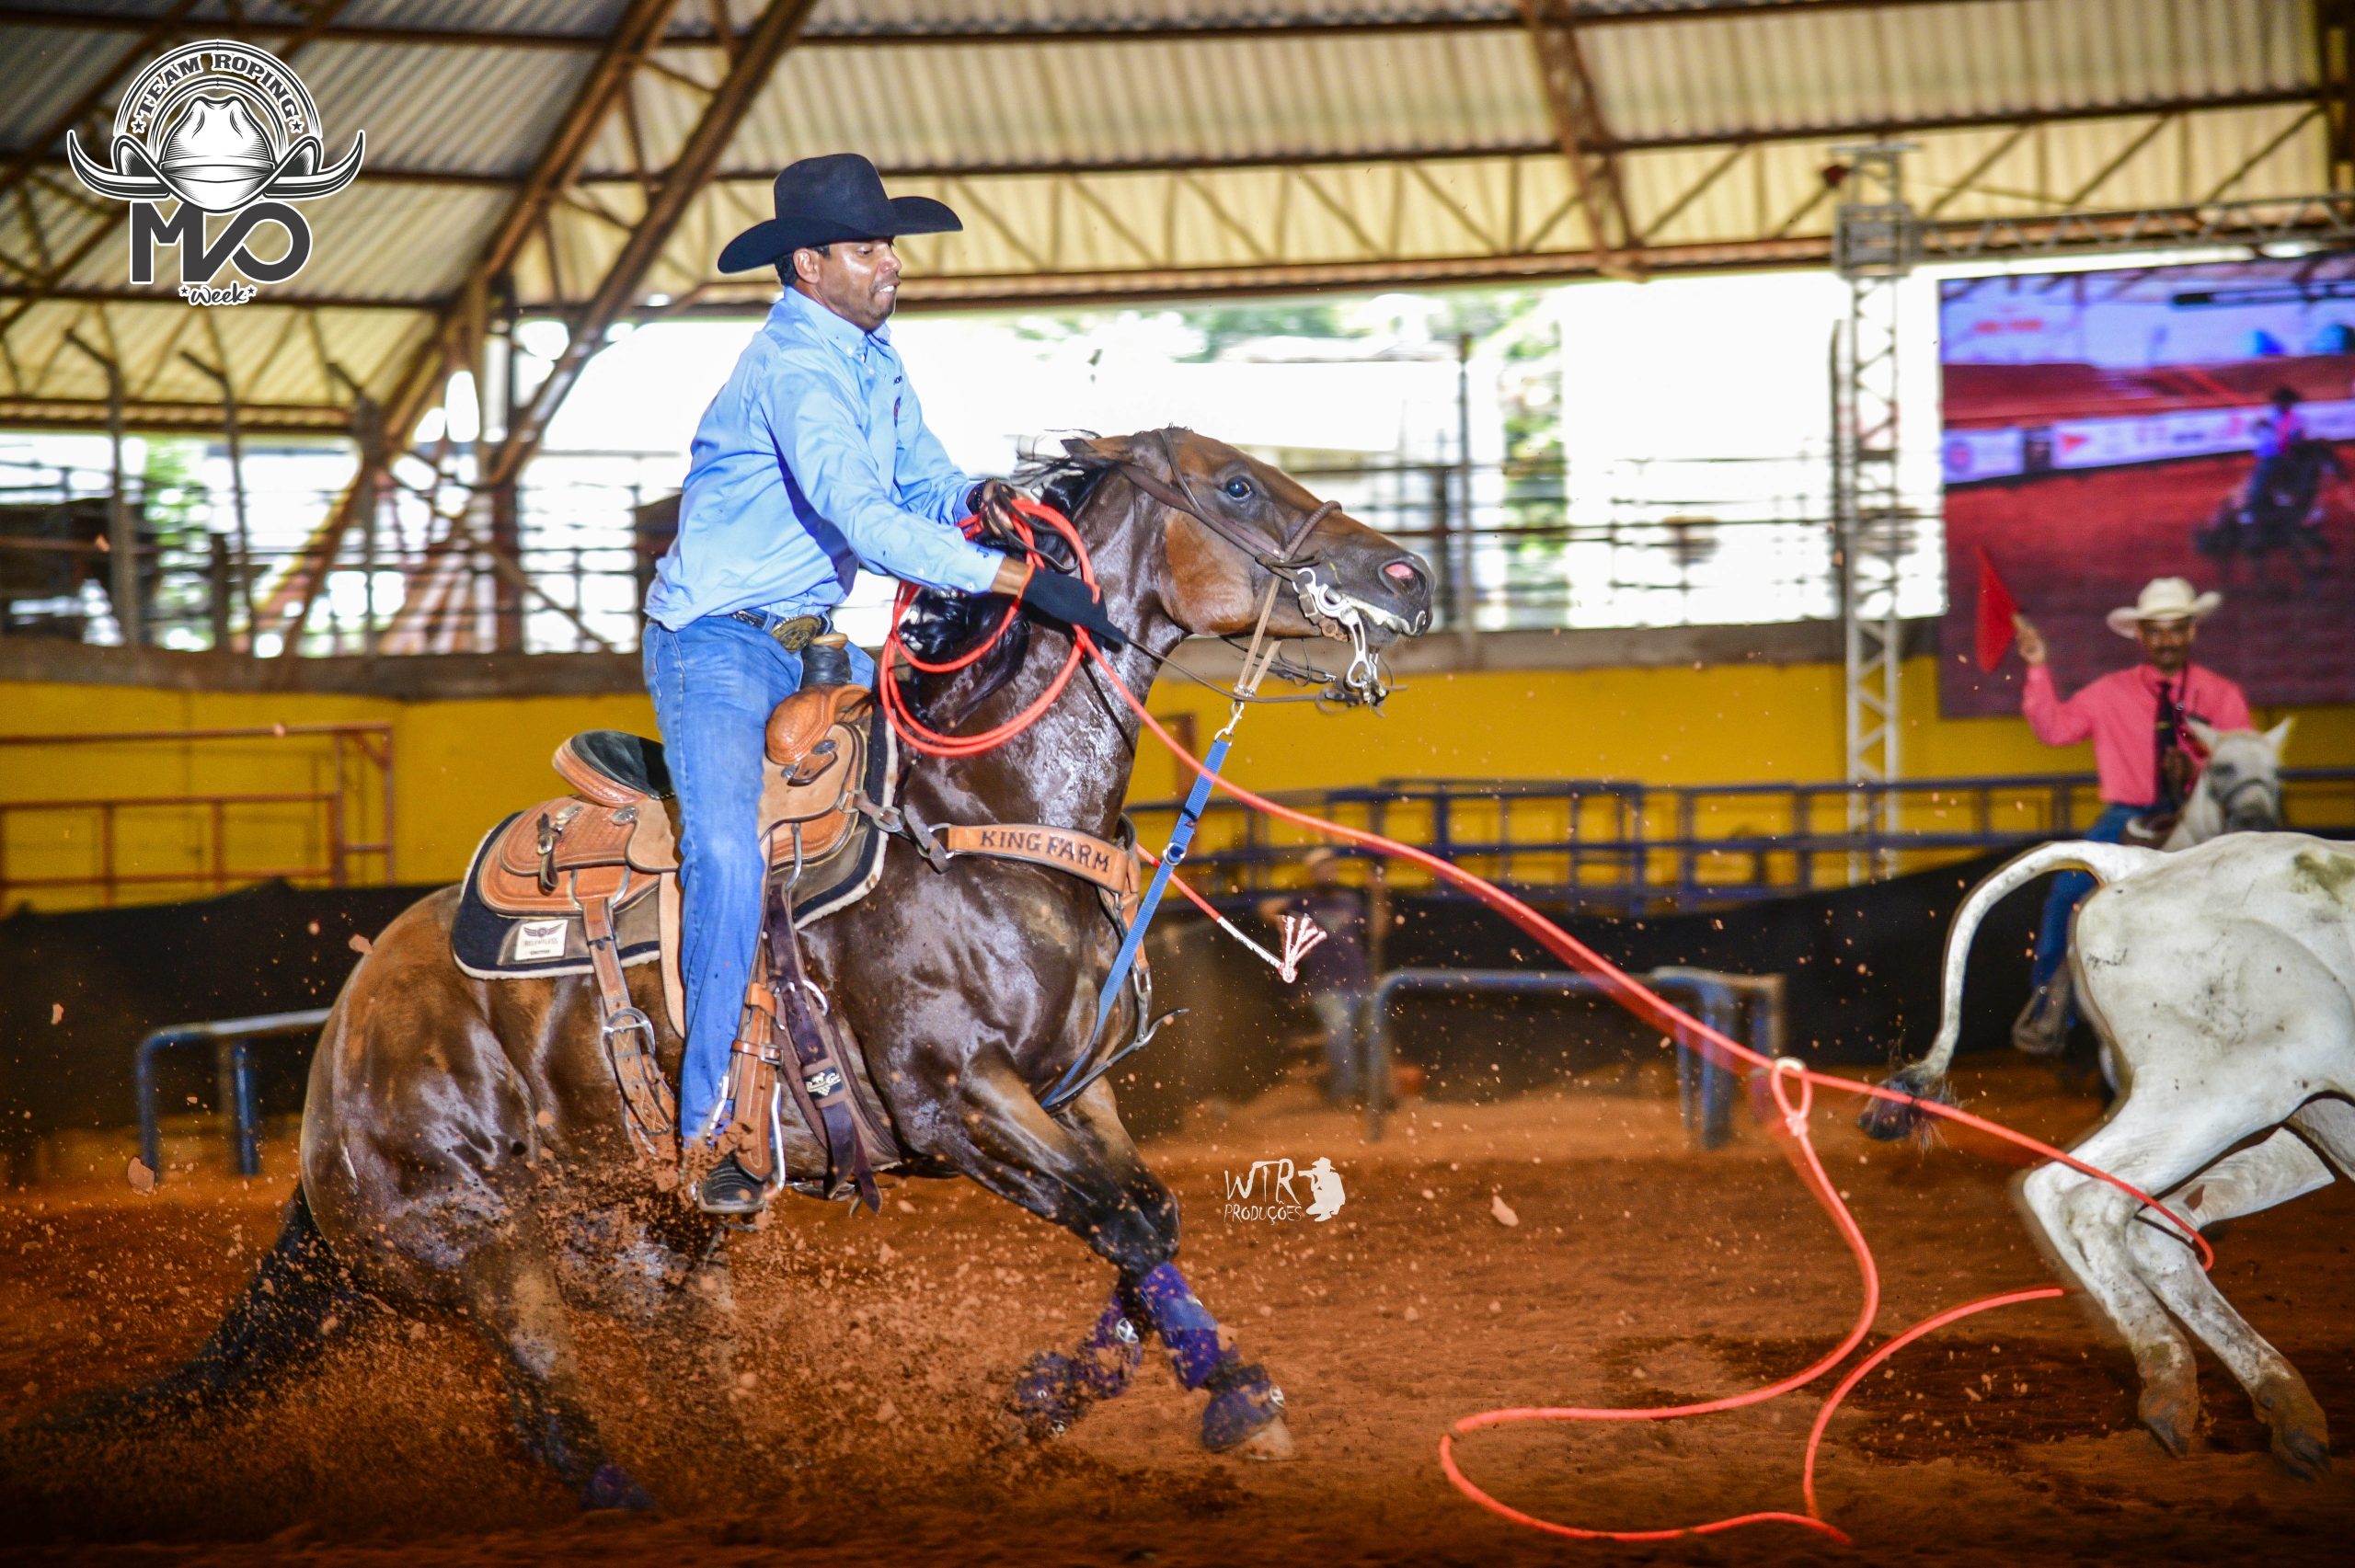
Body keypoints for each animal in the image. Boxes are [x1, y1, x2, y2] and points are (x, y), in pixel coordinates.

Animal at [106, 428, 1431, 1506]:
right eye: (1236, 484)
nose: (1406, 576)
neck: (972, 815)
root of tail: (347, 1038)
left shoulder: (1070, 1087)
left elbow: (1141, 1219)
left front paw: (1164, 1386)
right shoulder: (950, 1097)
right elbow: (1122, 1219)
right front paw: (1139, 1395)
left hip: (652, 1243)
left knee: (687, 1376)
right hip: (468, 1238)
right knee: (548, 1399)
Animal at [1865, 838, 2345, 1469]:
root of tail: (2137, 863)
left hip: (2281, 1123)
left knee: (2158, 1225)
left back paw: (2285, 1408)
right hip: (2227, 1092)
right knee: (2072, 1195)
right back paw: (2169, 1382)